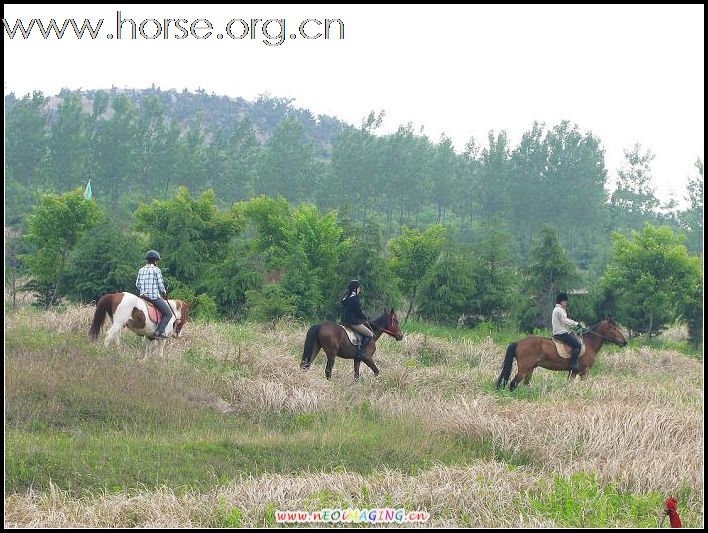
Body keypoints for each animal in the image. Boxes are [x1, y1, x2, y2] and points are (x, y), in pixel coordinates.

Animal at [496, 318, 628, 388]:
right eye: (614, 329)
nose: (625, 342)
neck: (590, 343)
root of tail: (518, 343)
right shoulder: (585, 371)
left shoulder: (573, 372)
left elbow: (569, 384)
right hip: (524, 369)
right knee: (513, 384)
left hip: (530, 369)